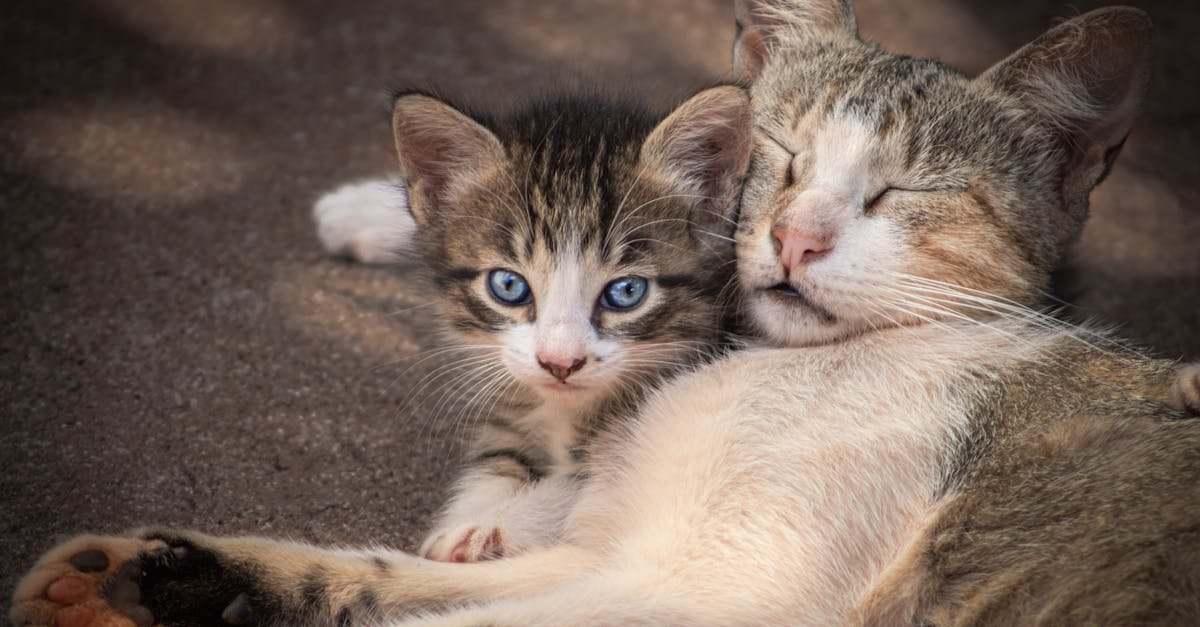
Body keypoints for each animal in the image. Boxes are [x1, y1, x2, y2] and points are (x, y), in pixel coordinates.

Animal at [9, 1, 1200, 624]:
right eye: (777, 159)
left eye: (903, 193)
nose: (794, 238)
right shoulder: (628, 545)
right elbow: (394, 581)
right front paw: (140, 579)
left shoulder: (709, 583)